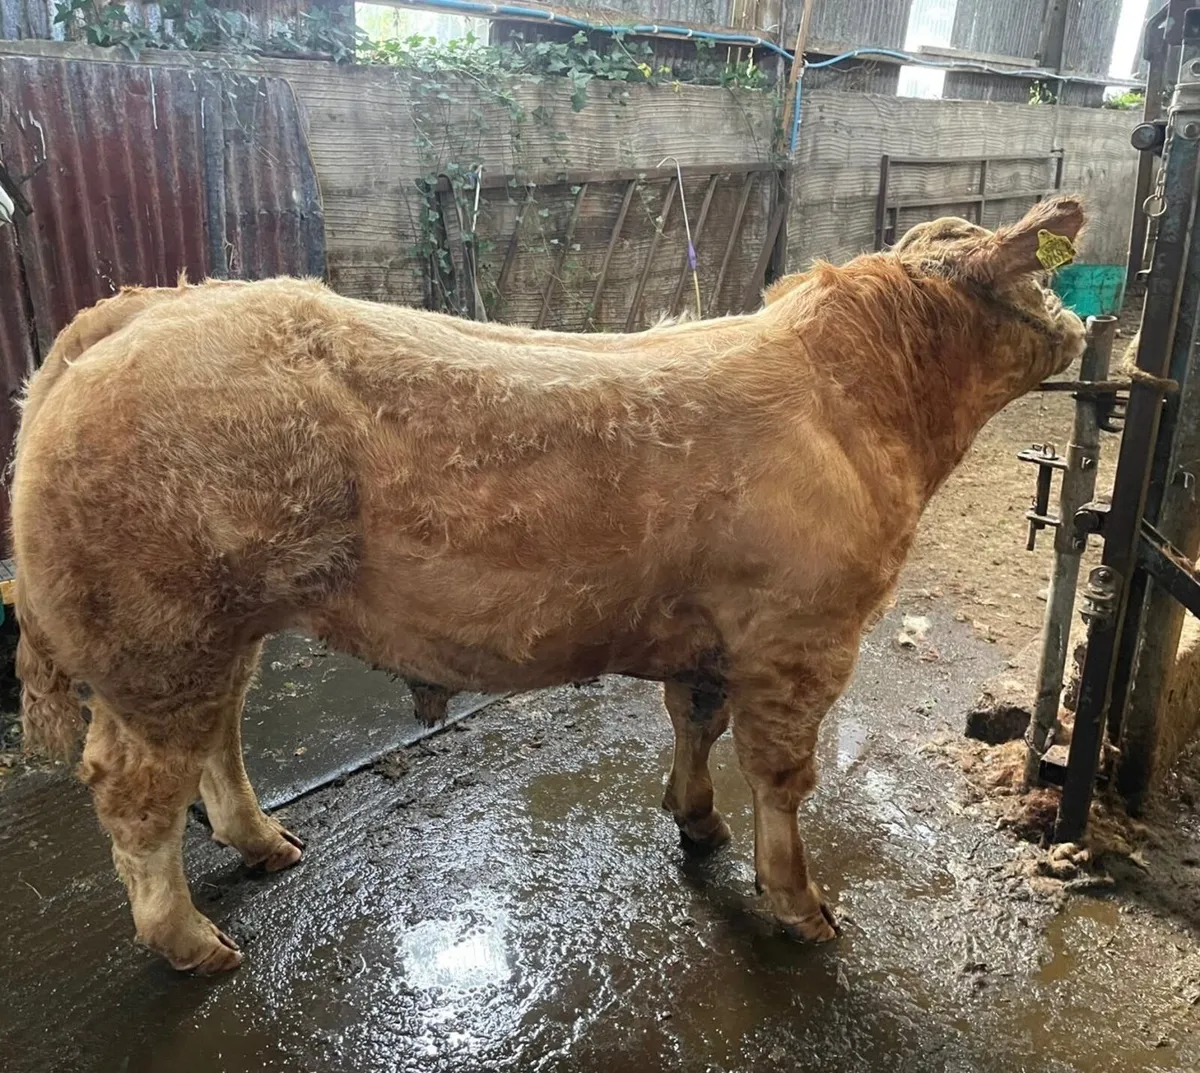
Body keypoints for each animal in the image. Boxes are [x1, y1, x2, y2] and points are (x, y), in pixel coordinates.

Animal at [11, 197, 1087, 974]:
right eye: (1035, 275)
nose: (1081, 319)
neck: (869, 409)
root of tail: (149, 305)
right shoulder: (804, 634)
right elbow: (782, 778)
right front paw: (804, 906)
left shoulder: (716, 632)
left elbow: (694, 719)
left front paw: (696, 822)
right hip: (158, 629)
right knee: (134, 783)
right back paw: (195, 944)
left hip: (219, 623)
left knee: (217, 737)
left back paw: (268, 842)